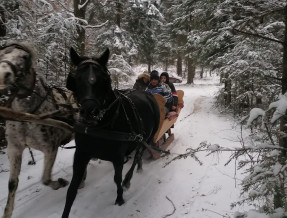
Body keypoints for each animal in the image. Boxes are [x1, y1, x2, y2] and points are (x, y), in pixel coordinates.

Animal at [0, 43, 75, 218]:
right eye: (1, 55)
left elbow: (45, 179)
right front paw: (7, 212)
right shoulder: (14, 149)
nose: (2, 74)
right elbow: (12, 184)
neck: (28, 116)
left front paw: (60, 183)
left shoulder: (50, 148)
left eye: (24, 57)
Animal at [61, 48, 160, 218]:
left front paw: (120, 199)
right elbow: (71, 190)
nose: (90, 112)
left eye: (103, 79)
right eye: (75, 79)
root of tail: (148, 94)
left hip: (147, 136)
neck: (101, 126)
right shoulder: (81, 155)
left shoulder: (118, 157)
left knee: (138, 154)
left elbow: (116, 178)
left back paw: (128, 179)